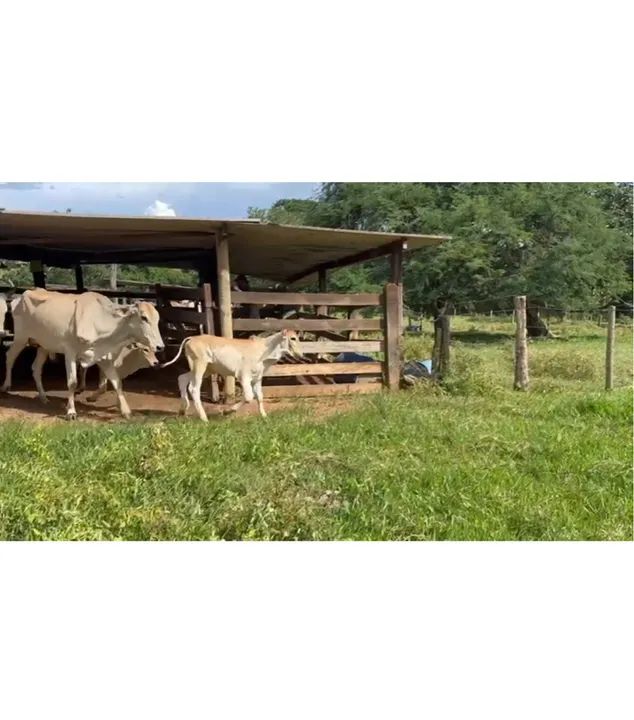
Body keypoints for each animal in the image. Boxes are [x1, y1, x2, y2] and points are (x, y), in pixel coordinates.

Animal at [1, 289, 164, 420]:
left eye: (157, 318)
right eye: (144, 317)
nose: (160, 346)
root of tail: (21, 296)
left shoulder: (104, 358)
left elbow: (116, 382)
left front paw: (126, 411)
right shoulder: (70, 352)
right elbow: (72, 382)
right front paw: (71, 411)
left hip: (43, 346)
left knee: (36, 368)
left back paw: (43, 397)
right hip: (21, 338)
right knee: (9, 357)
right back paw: (6, 386)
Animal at [161, 329, 302, 421]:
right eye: (293, 338)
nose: (300, 354)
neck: (264, 350)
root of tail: (192, 338)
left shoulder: (257, 378)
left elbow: (260, 397)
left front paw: (264, 416)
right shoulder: (243, 376)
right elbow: (249, 397)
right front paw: (228, 411)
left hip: (207, 369)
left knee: (182, 378)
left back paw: (183, 410)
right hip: (199, 365)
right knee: (194, 388)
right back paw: (204, 418)